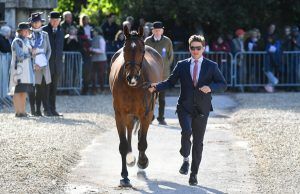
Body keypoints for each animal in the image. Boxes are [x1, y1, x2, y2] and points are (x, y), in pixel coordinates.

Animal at [109, 25, 163, 186]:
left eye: (142, 50)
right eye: (125, 49)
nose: (131, 77)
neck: (133, 87)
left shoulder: (146, 114)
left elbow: (142, 142)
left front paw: (143, 162)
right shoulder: (120, 114)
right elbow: (123, 145)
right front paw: (124, 176)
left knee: (139, 135)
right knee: (130, 132)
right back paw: (130, 158)